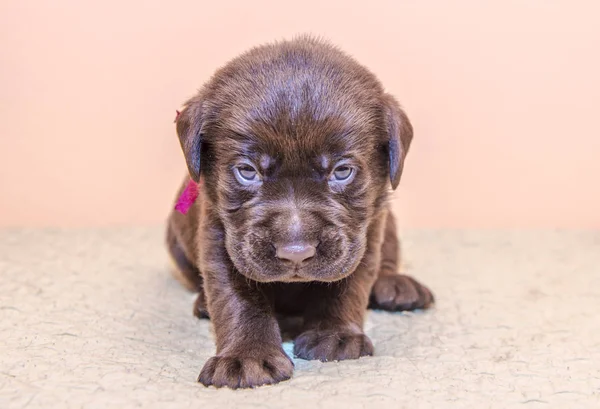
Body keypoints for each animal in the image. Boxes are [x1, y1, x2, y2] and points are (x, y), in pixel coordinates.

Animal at [166, 35, 434, 388]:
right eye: (247, 171)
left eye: (342, 171)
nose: (296, 252)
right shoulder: (219, 236)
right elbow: (238, 298)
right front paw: (246, 356)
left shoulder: (365, 231)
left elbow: (348, 284)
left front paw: (334, 335)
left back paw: (397, 285)